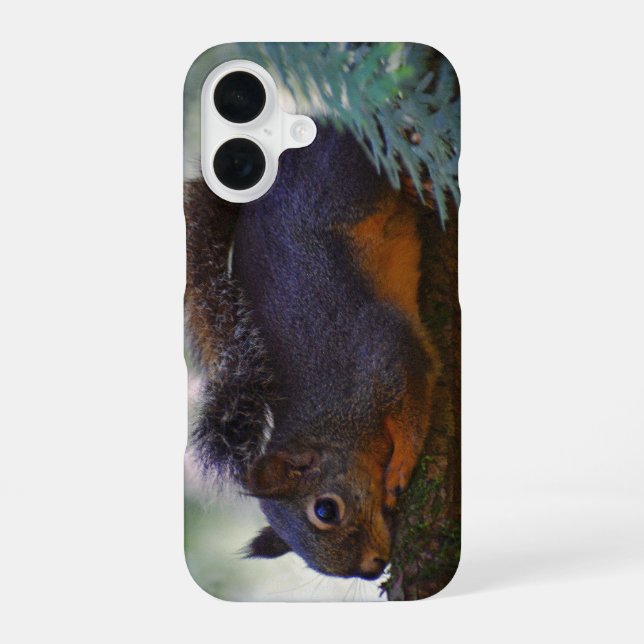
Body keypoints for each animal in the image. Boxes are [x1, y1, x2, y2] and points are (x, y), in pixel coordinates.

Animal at [185, 126, 438, 580]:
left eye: (325, 510)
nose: (373, 569)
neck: (333, 419)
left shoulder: (386, 358)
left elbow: (414, 406)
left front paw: (399, 468)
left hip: (348, 179)